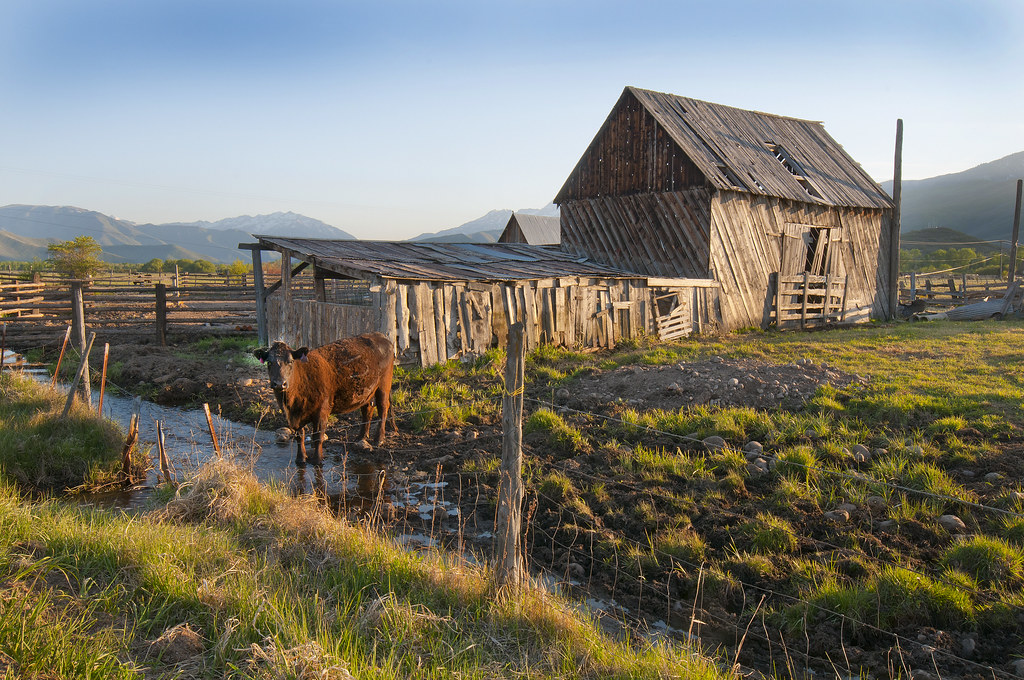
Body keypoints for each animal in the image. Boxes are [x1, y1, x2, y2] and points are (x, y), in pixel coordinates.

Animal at [252, 332, 395, 466]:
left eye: (290, 362)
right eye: (269, 363)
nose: (279, 383)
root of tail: (379, 335)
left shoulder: (322, 411)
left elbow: (318, 437)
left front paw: (317, 459)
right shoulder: (295, 416)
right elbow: (300, 436)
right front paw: (301, 459)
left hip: (383, 386)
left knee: (383, 409)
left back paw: (379, 439)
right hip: (366, 391)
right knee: (367, 410)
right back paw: (361, 437)